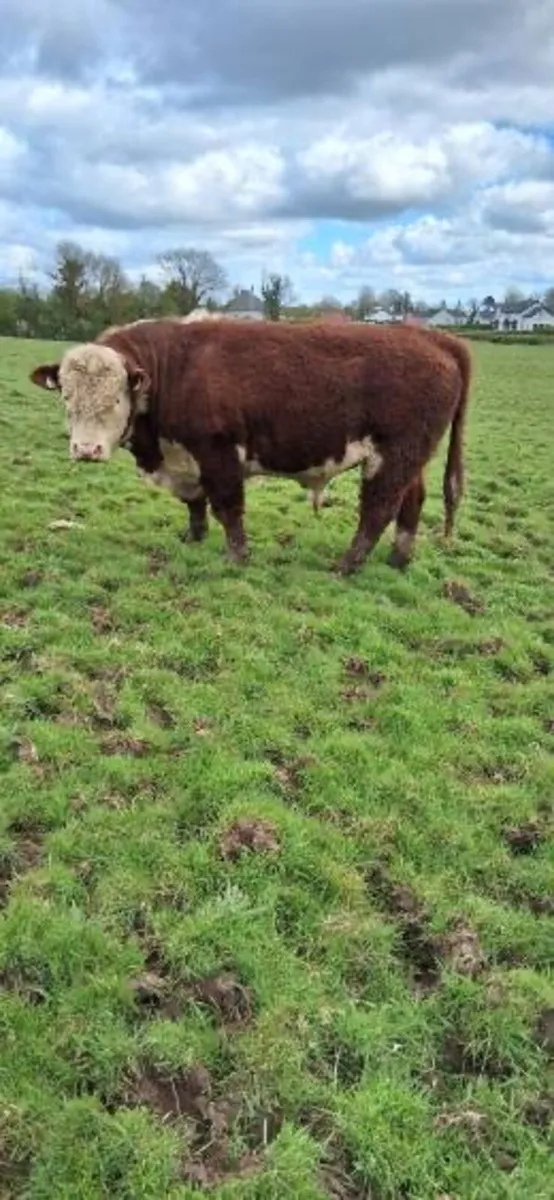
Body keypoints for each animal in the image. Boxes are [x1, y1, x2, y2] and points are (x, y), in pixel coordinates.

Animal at [29, 318, 471, 575]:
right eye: (66, 395)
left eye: (115, 397)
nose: (86, 450)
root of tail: (432, 336)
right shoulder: (187, 458)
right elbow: (195, 503)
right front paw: (194, 538)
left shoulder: (218, 451)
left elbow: (227, 508)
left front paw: (237, 558)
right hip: (411, 458)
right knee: (412, 501)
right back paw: (399, 559)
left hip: (392, 455)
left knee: (378, 509)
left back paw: (346, 565)